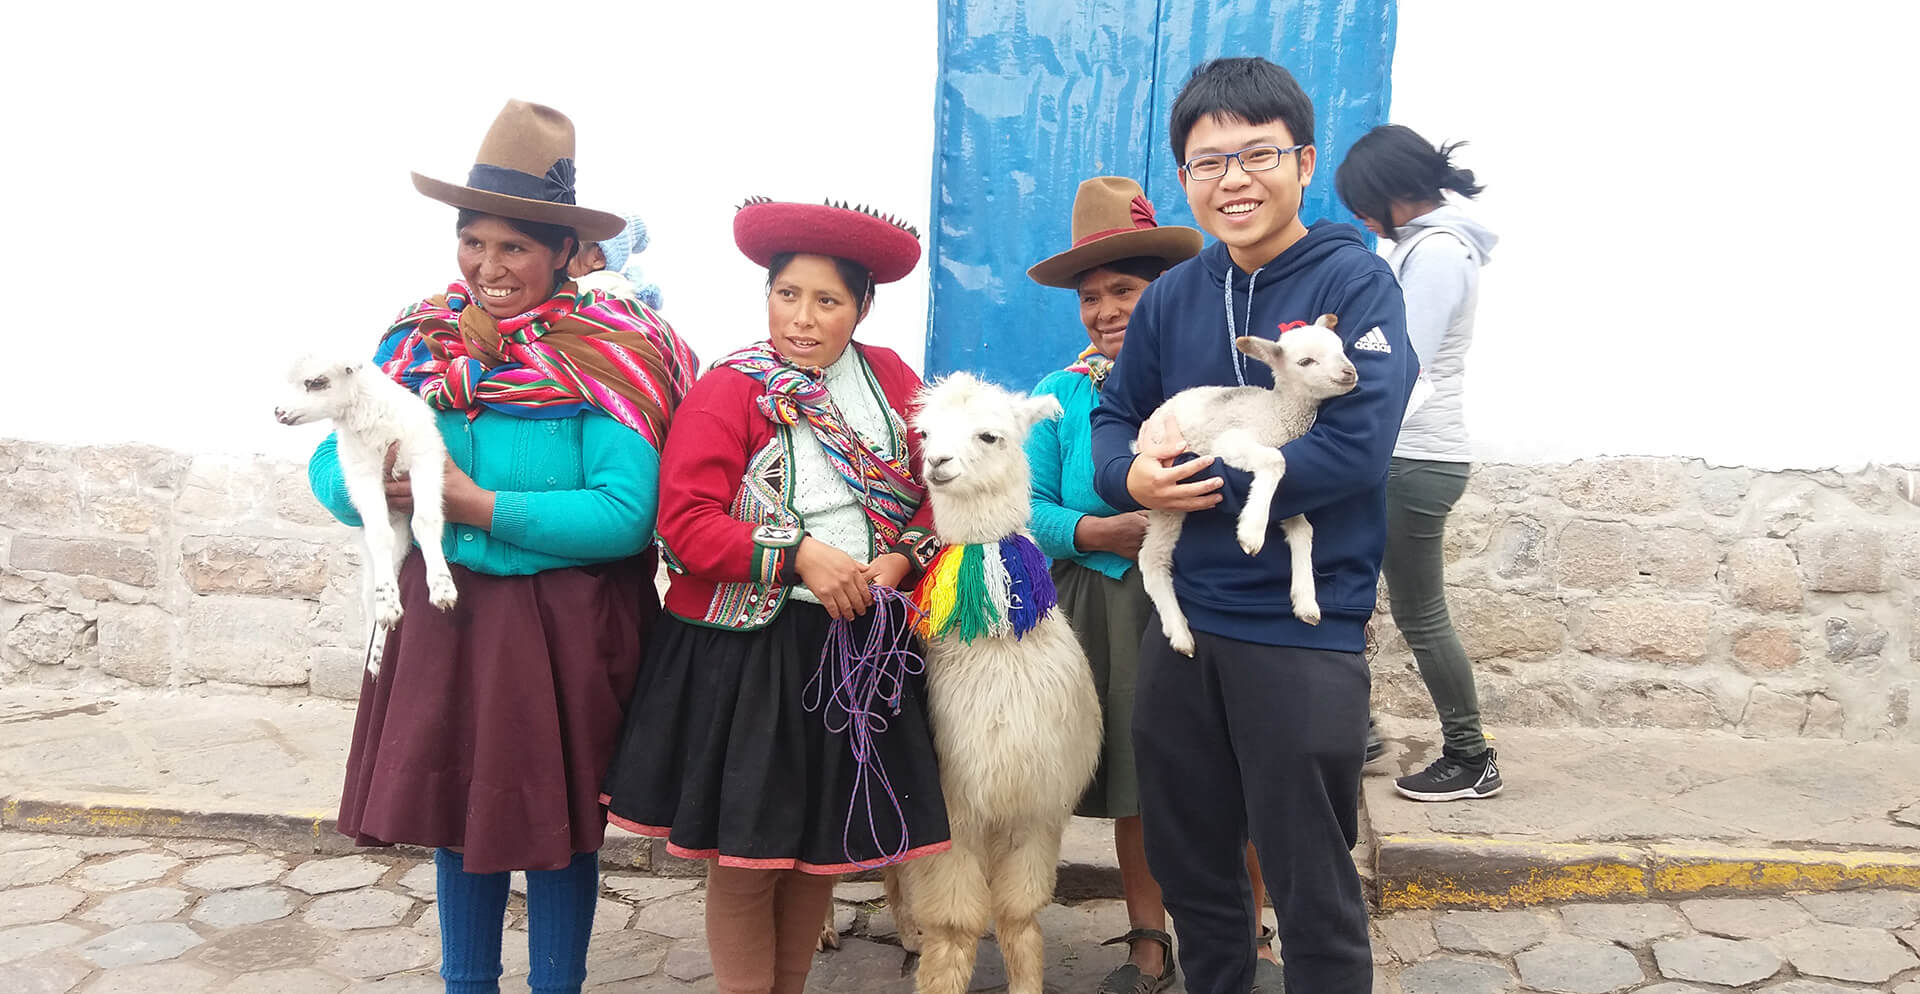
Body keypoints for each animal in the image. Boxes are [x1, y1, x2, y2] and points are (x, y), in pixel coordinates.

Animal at [274, 355, 456, 675]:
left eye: (317, 382)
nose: (279, 412)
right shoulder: (361, 473)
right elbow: (378, 534)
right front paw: (388, 604)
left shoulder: (424, 454)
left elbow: (426, 521)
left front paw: (443, 588)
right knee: (371, 596)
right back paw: (377, 651)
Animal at [902, 374, 1105, 994]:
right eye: (925, 433)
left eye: (989, 435)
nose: (937, 463)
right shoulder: (953, 811)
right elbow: (955, 929)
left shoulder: (1036, 806)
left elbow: (1018, 916)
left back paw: (905, 932)